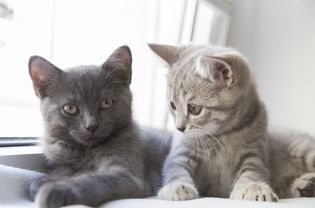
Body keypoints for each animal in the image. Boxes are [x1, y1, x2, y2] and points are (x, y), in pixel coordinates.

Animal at [28, 46, 172, 208]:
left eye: (106, 102)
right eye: (70, 108)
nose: (91, 126)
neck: (87, 151)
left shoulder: (128, 174)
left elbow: (92, 180)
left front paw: (55, 190)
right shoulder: (61, 162)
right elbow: (57, 173)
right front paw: (42, 182)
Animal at [149, 44, 315, 202]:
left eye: (194, 108)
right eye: (172, 105)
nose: (179, 128)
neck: (224, 133)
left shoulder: (254, 152)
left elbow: (252, 171)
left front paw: (253, 187)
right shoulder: (181, 151)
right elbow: (175, 168)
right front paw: (176, 186)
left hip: (304, 151)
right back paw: (304, 184)